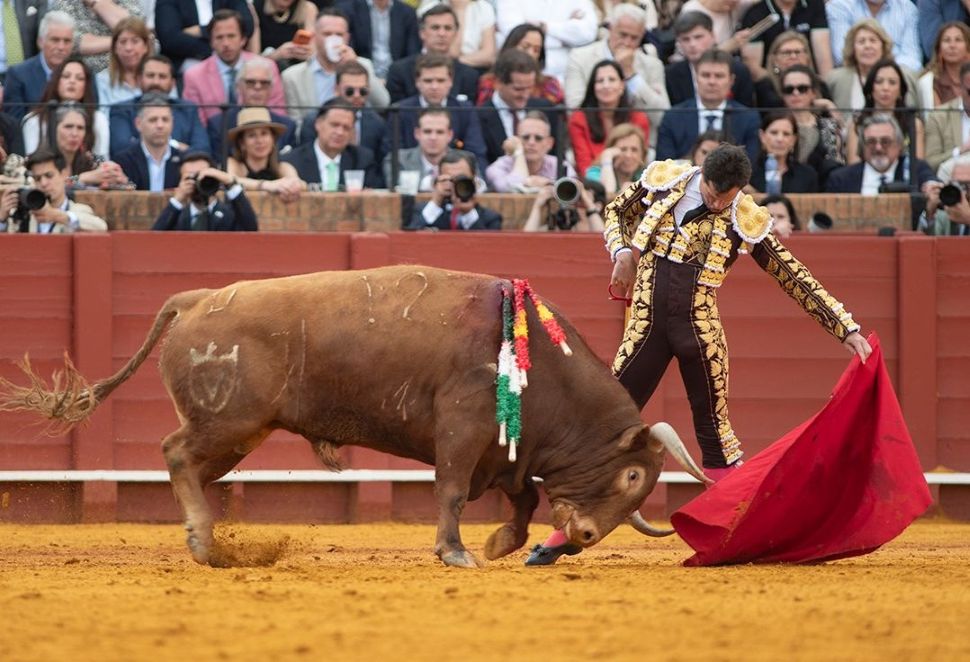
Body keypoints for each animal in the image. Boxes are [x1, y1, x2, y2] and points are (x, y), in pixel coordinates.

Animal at [0, 265, 708, 567]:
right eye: (633, 478)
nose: (585, 536)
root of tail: (197, 298)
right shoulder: (463, 429)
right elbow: (453, 491)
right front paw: (457, 552)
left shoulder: (507, 449)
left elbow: (522, 498)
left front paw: (498, 543)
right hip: (230, 423)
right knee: (176, 453)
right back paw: (203, 544)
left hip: (239, 433)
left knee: (191, 465)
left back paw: (217, 546)